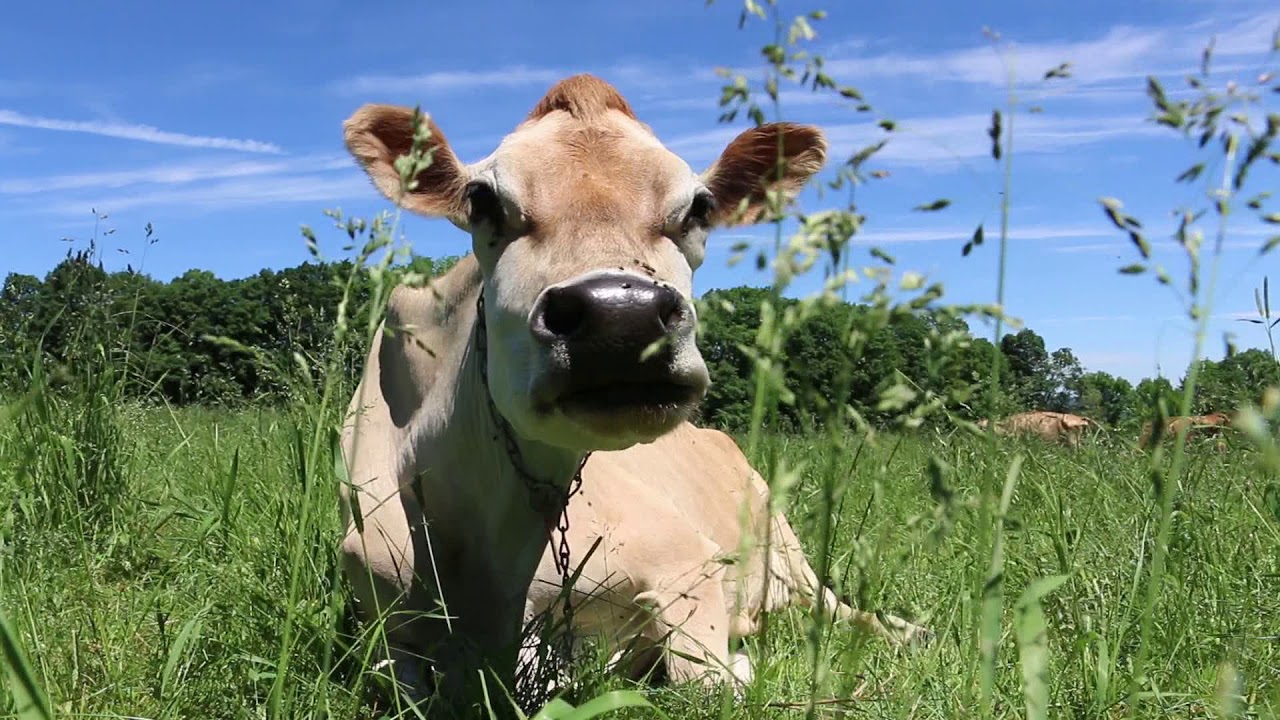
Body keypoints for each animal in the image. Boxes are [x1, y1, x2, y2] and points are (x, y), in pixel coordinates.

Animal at [338, 74, 829, 712]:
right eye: (482, 200)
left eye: (699, 207)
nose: (622, 316)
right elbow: (402, 682)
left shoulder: (686, 560)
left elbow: (705, 680)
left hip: (789, 549)